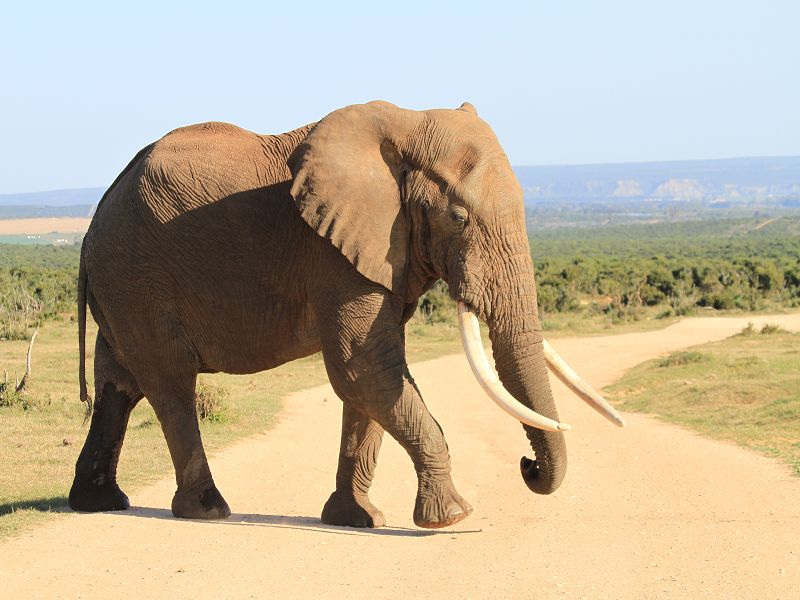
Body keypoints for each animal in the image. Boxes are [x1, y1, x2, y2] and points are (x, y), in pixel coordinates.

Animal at [68, 101, 622, 529]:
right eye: (458, 218)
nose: (526, 466)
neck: (406, 125)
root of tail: (93, 223)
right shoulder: (332, 253)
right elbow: (364, 369)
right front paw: (451, 519)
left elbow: (373, 382)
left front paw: (358, 520)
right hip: (137, 278)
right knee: (170, 385)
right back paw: (207, 511)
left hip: (123, 286)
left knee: (119, 384)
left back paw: (98, 504)